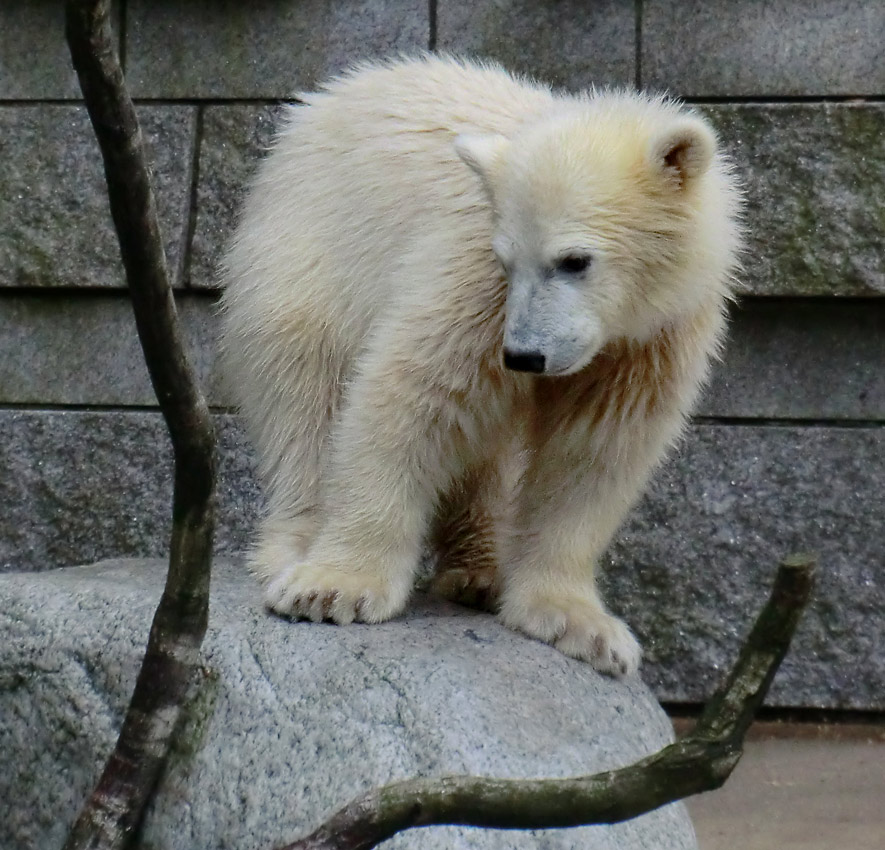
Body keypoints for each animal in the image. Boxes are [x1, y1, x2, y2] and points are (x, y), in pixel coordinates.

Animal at [219, 53, 740, 676]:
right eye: (507, 259)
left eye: (575, 260)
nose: (525, 356)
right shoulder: (475, 282)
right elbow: (412, 394)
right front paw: (332, 587)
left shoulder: (652, 340)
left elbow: (595, 449)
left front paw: (581, 626)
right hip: (304, 257)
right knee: (305, 393)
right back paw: (295, 548)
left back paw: (481, 569)